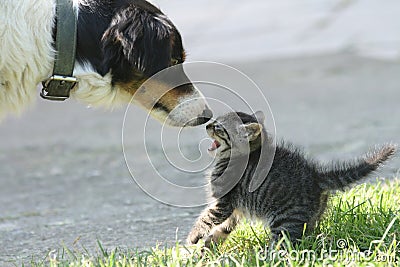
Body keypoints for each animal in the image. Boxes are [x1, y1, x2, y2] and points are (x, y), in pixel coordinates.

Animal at [186, 111, 396, 247]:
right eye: (214, 121)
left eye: (219, 127)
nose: (207, 125)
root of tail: (315, 176)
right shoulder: (234, 209)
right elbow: (223, 229)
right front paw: (208, 248)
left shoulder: (223, 203)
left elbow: (206, 218)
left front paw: (193, 237)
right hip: (308, 220)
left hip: (285, 222)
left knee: (283, 247)